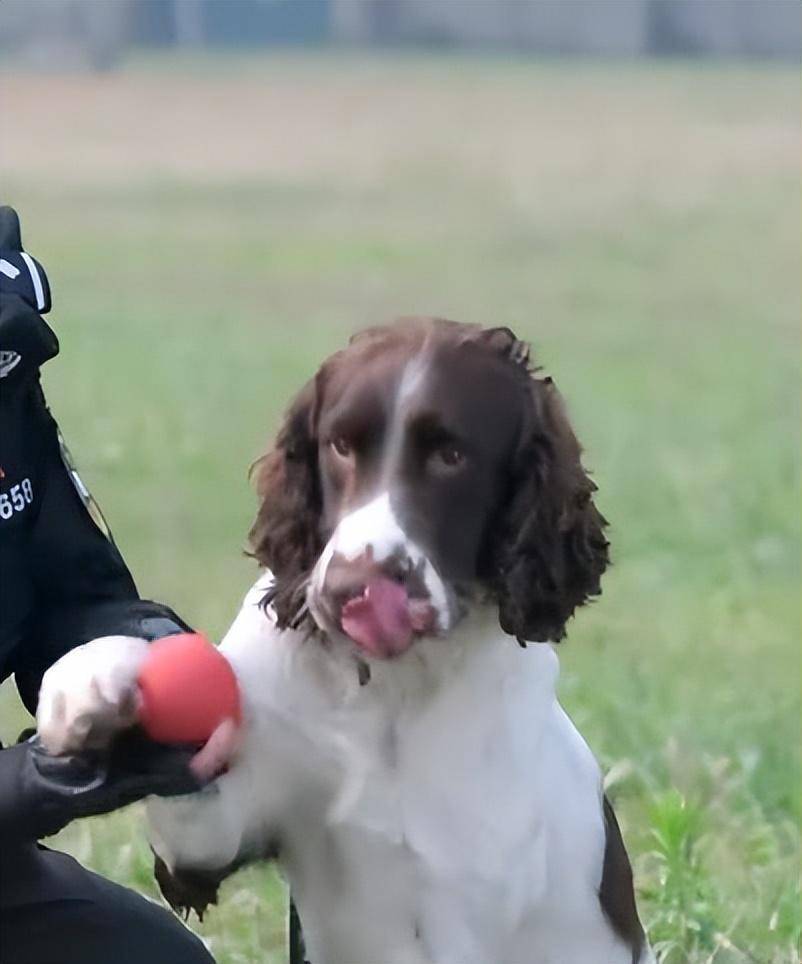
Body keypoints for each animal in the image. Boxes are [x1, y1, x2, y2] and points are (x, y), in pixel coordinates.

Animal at [36, 318, 648, 964]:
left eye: (452, 456)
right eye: (340, 445)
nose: (353, 588)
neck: (391, 689)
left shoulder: (469, 896)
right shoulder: (211, 834)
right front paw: (88, 686)